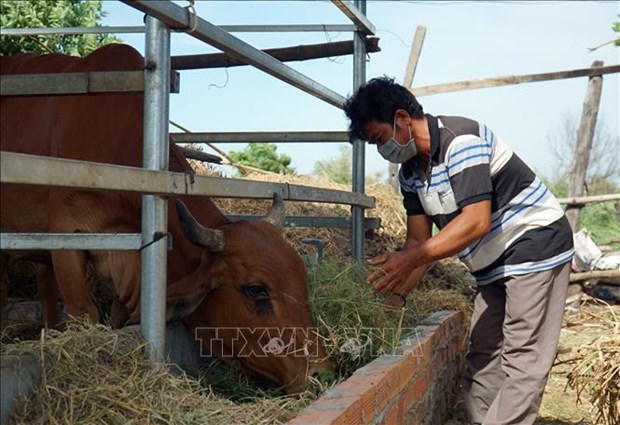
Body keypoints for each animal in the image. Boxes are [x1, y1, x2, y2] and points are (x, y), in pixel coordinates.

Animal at [0, 43, 334, 390]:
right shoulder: (66, 239)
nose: (320, 371)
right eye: (256, 289)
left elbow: (118, 317)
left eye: (302, 275)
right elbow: (84, 313)